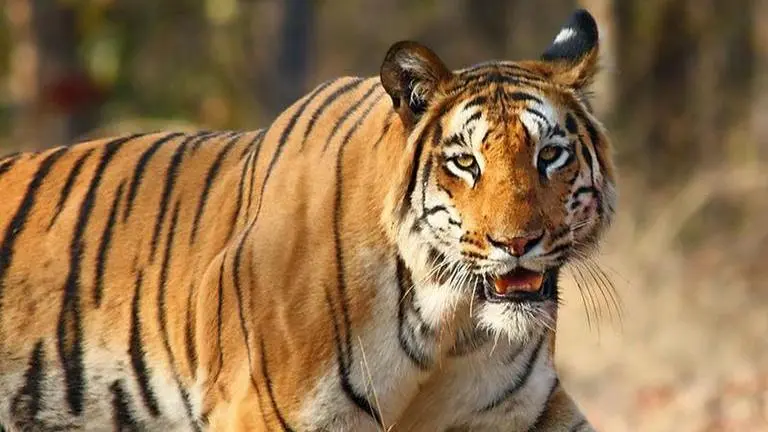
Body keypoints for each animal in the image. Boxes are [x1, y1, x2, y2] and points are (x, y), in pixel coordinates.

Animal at [0, 8, 615, 432]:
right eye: (466, 162)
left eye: (550, 155)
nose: (518, 242)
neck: (451, 325)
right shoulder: (264, 412)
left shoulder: (521, 408)